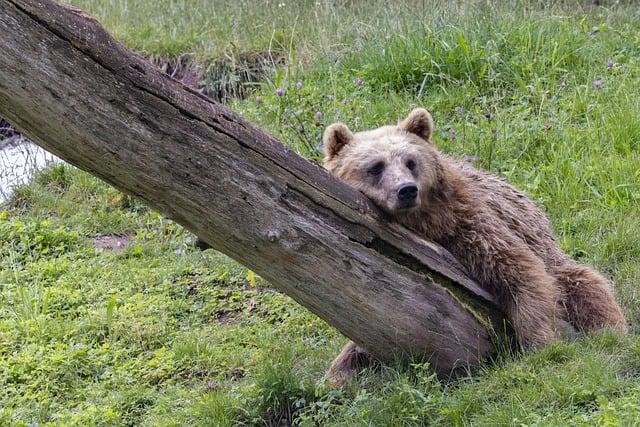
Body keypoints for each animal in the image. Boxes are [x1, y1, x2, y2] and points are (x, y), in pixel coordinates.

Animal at [322, 108, 628, 386]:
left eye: (410, 161)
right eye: (376, 166)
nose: (406, 190)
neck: (426, 223)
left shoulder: (468, 221)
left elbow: (518, 270)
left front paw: (540, 342)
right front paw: (339, 372)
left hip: (552, 254)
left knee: (587, 286)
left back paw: (611, 331)